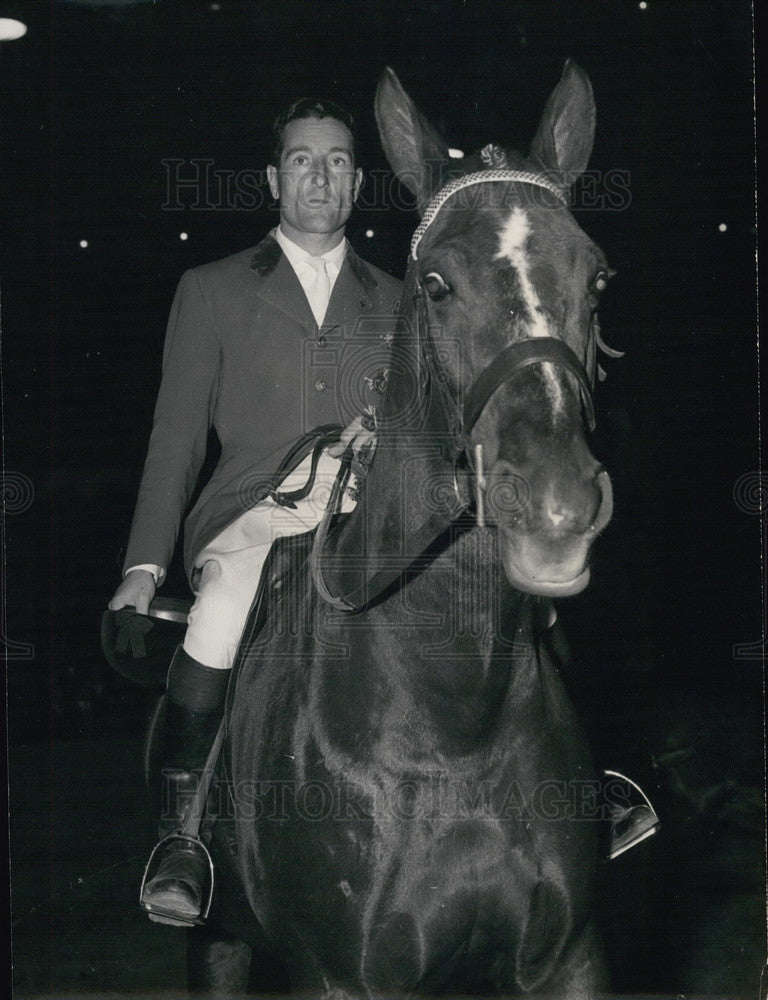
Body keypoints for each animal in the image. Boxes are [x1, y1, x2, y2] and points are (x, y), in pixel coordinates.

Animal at [196, 60, 616, 992]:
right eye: (436, 283)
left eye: (597, 279)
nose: (556, 510)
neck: (453, 716)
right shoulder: (341, 976)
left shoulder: (569, 958)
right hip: (222, 943)